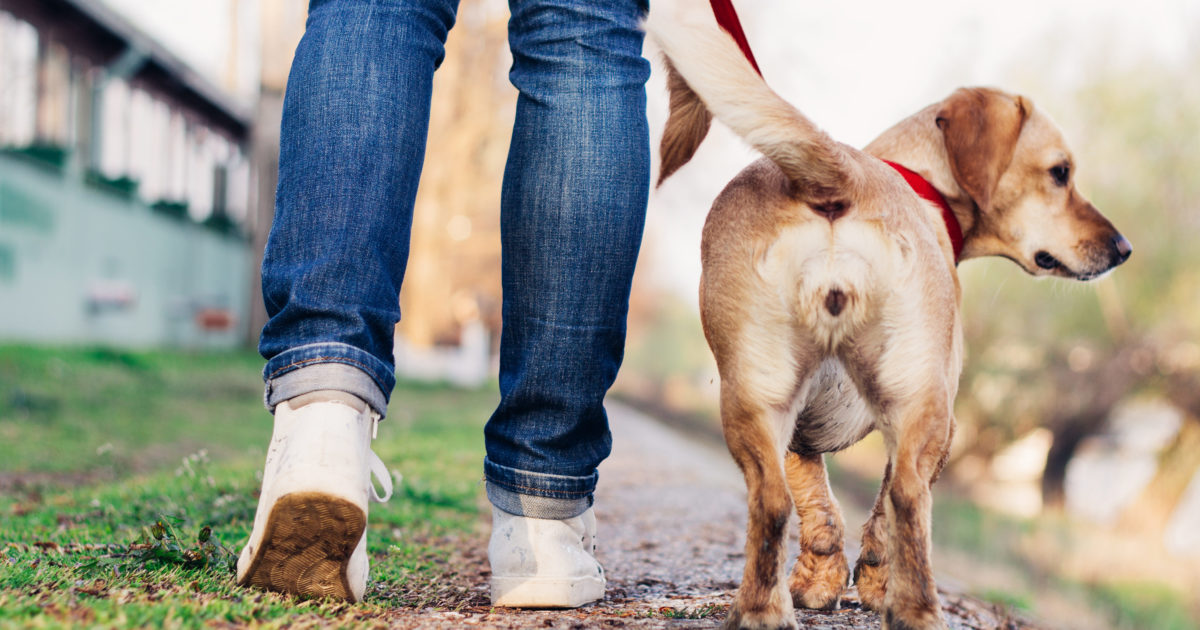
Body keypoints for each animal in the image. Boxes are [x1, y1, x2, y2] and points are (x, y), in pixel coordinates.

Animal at [648, 8, 1123, 628]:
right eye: (1060, 172)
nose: (1123, 248)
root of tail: (839, 174)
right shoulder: (939, 422)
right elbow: (879, 516)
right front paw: (873, 586)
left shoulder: (800, 432)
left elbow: (819, 507)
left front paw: (817, 583)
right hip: (922, 406)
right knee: (907, 500)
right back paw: (916, 611)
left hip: (754, 395)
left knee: (772, 501)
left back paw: (762, 611)